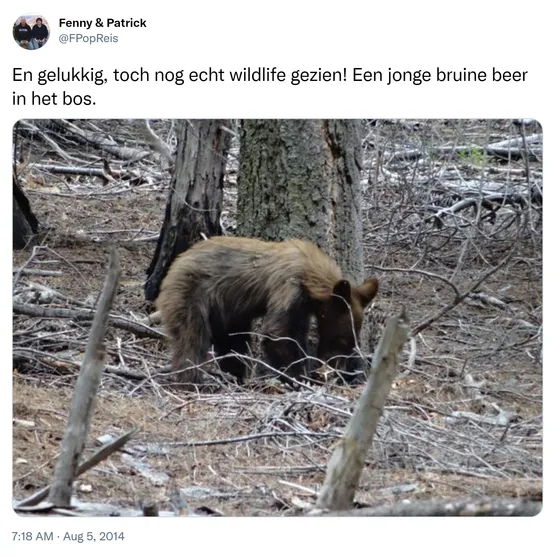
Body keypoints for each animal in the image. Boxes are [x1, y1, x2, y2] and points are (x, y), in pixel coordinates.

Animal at [159, 235, 380, 386]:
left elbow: (296, 334)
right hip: (191, 295)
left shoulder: (302, 308)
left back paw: (237, 378)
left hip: (224, 314)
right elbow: (276, 332)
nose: (337, 372)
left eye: (351, 344)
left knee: (232, 343)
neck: (310, 276)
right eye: (341, 341)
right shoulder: (288, 288)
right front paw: (297, 376)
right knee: (192, 339)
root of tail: (176, 263)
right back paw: (191, 381)